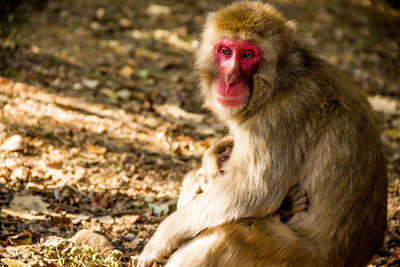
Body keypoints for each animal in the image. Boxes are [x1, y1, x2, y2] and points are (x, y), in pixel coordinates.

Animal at [138, 2, 388, 267]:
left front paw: (160, 239)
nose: (230, 80)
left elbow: (253, 191)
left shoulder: (278, 118)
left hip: (289, 256)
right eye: (226, 51)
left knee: (227, 234)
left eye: (248, 55)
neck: (279, 83)